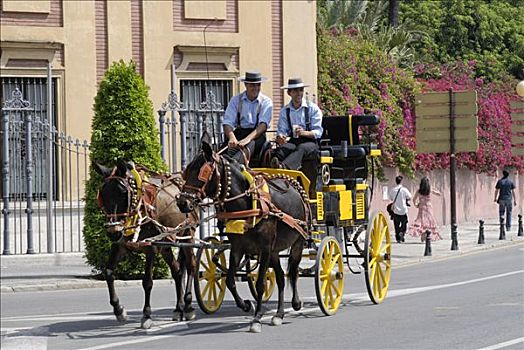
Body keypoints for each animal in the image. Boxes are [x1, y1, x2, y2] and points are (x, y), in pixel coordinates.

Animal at [95, 161, 198, 328]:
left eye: (123, 192)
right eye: (102, 194)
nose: (112, 231)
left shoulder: (151, 247)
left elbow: (147, 282)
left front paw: (147, 315)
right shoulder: (119, 244)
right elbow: (108, 272)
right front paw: (119, 309)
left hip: (187, 236)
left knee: (191, 266)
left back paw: (188, 307)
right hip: (166, 244)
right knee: (177, 271)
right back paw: (178, 308)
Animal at [177, 142, 308, 334]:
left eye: (203, 172)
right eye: (186, 172)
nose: (182, 203)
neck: (247, 204)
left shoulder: (264, 249)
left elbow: (260, 283)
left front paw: (257, 318)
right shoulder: (238, 248)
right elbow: (230, 280)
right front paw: (246, 305)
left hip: (298, 242)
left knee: (294, 271)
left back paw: (296, 303)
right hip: (275, 251)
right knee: (281, 278)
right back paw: (279, 314)